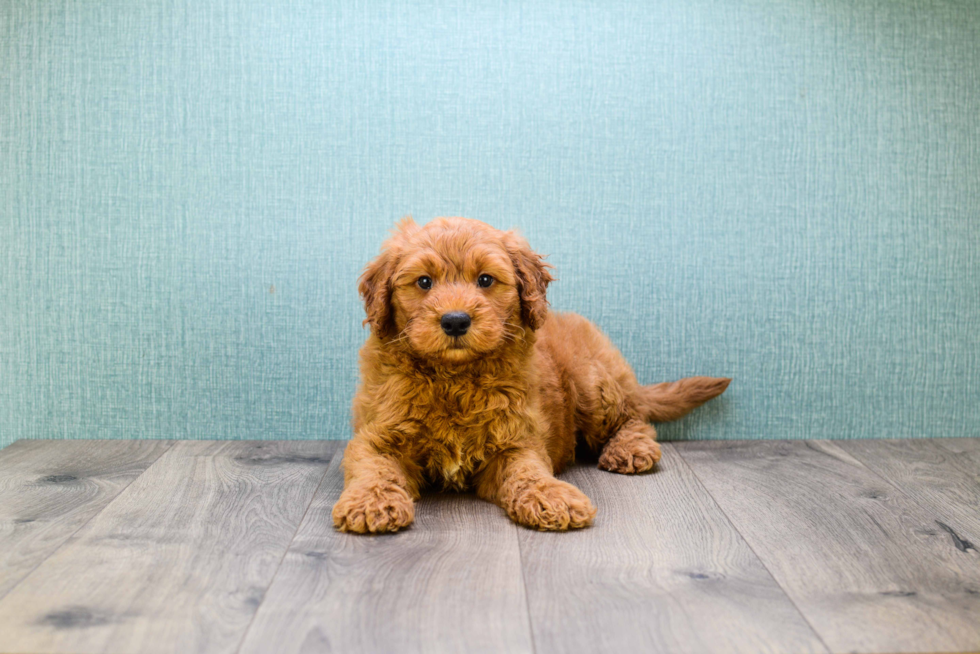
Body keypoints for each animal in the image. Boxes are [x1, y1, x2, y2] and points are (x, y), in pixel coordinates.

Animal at [334, 218, 728, 536]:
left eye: (486, 280)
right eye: (424, 282)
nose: (456, 320)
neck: (455, 376)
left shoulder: (517, 440)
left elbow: (529, 472)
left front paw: (551, 497)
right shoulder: (376, 436)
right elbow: (373, 468)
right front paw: (371, 503)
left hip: (592, 385)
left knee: (635, 417)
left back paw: (630, 449)